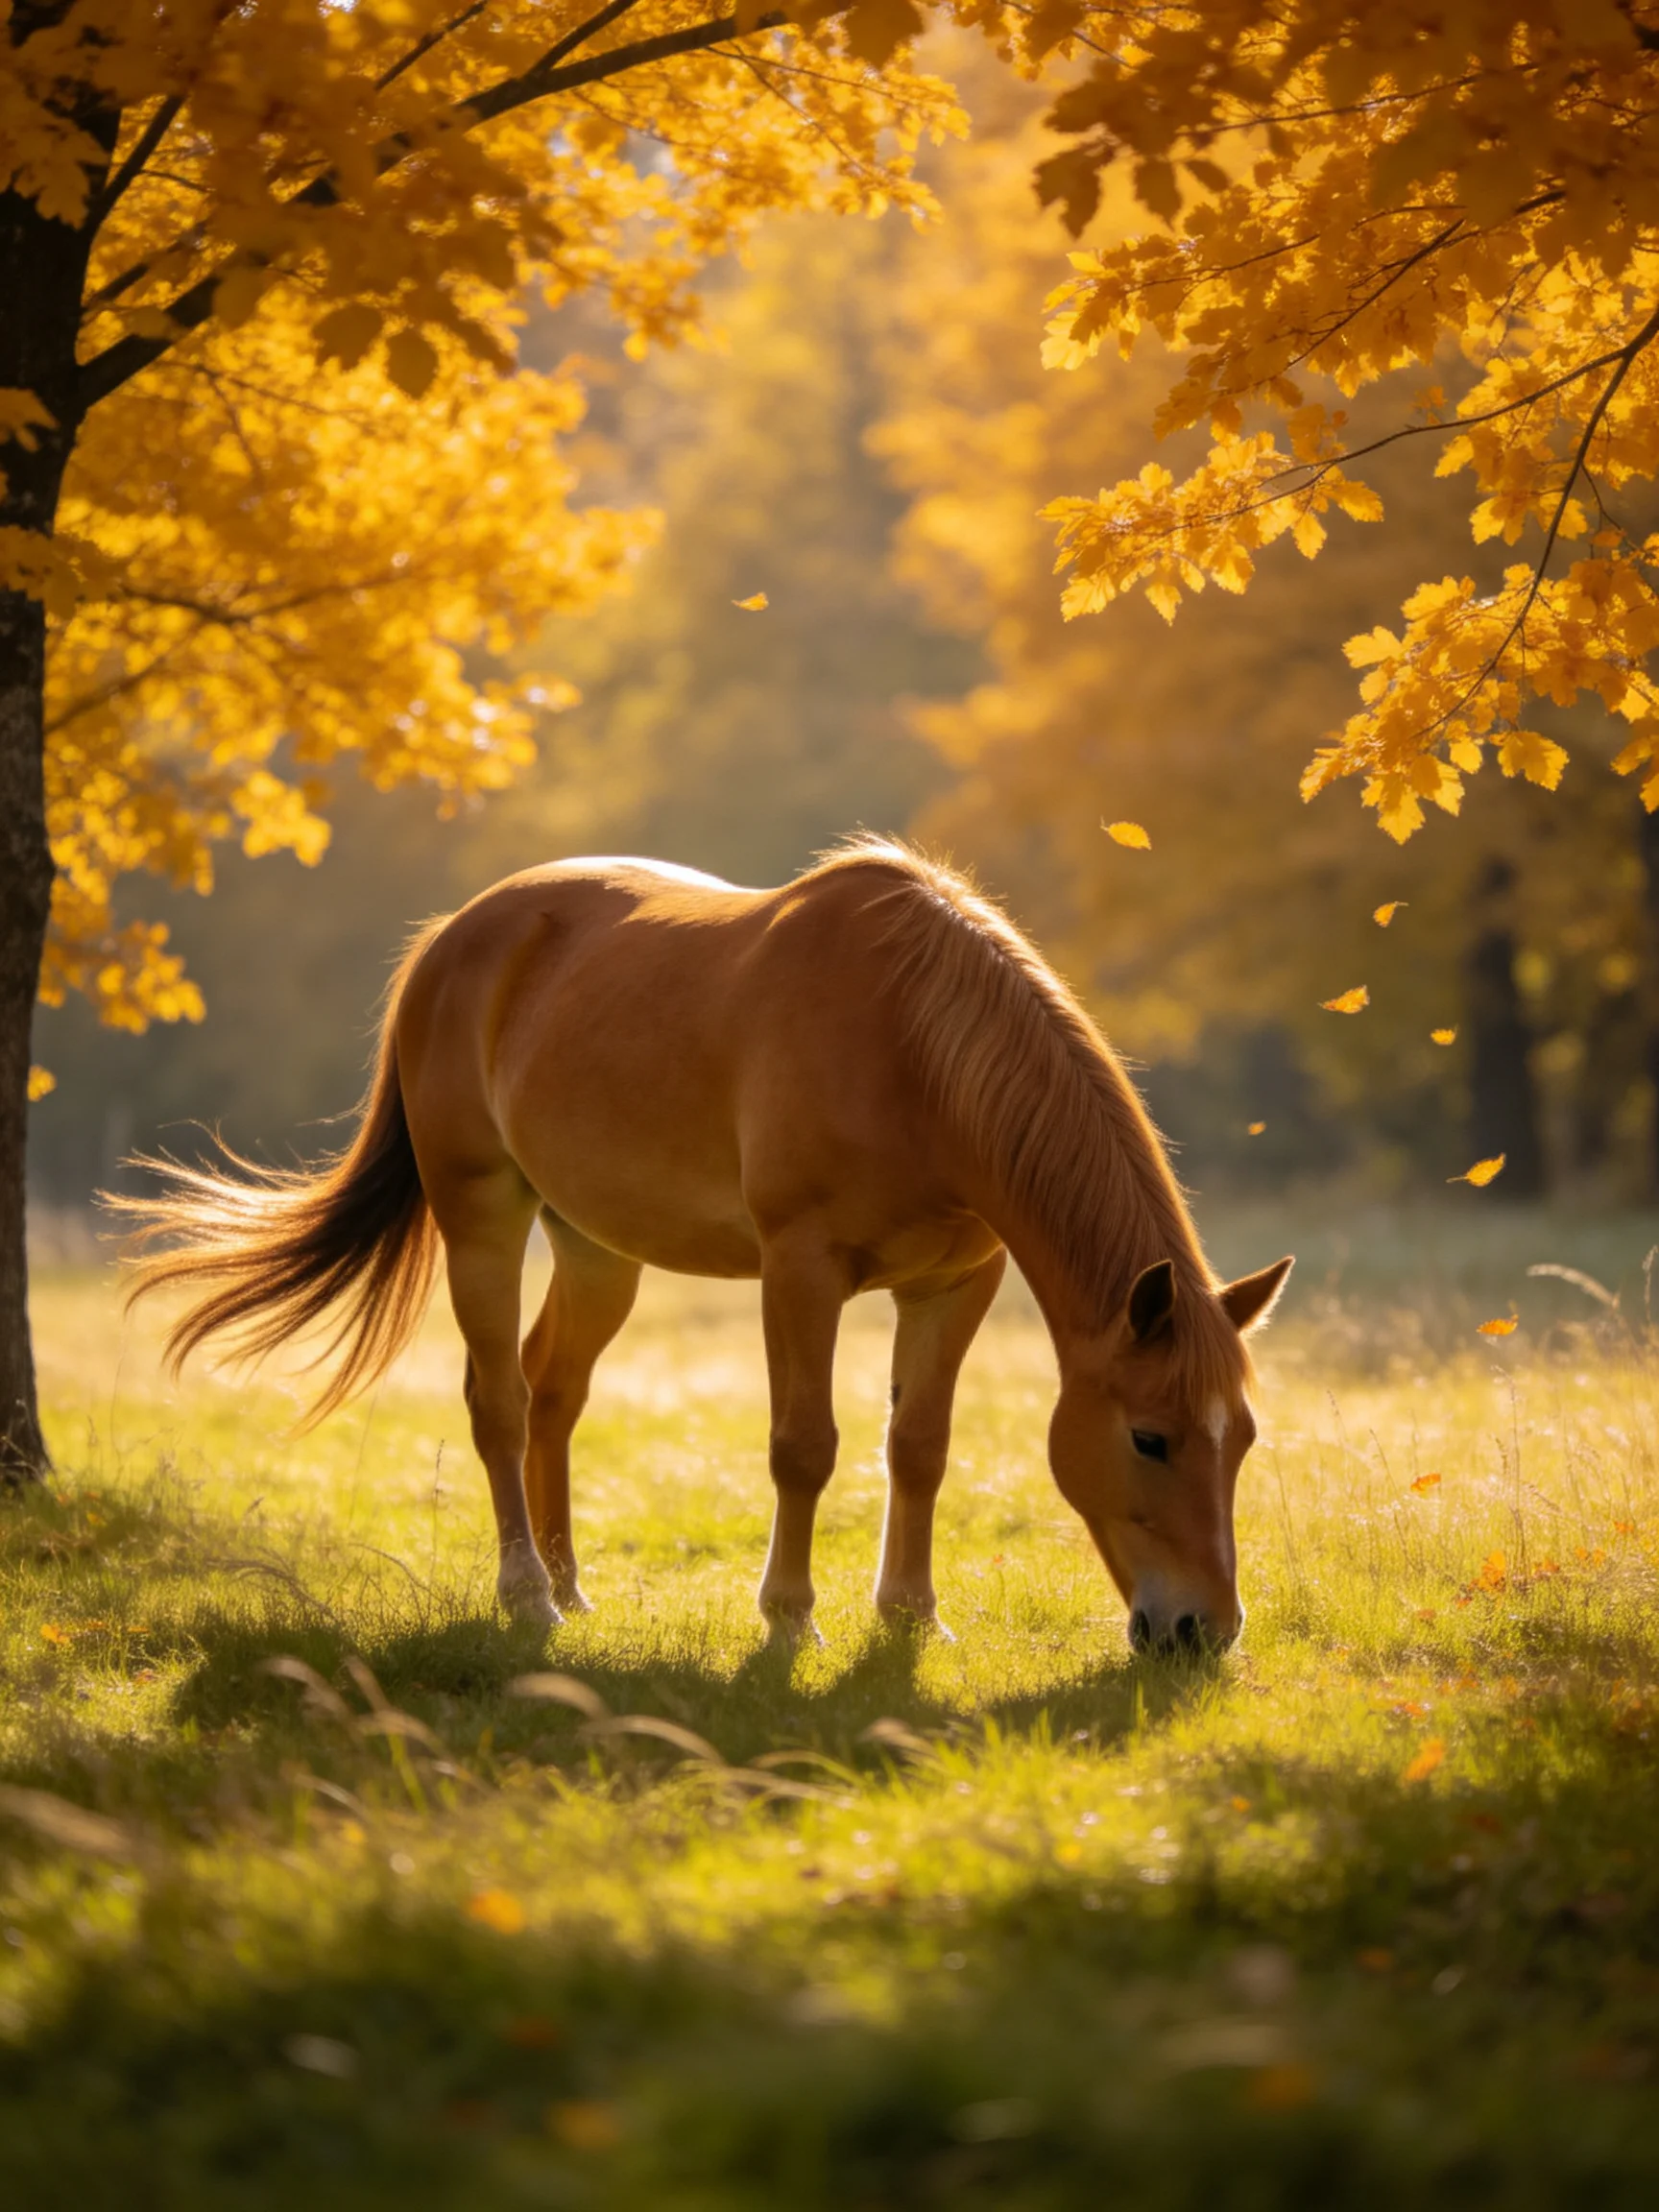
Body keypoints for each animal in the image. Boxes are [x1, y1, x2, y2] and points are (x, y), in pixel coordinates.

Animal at [119, 838, 1292, 1651]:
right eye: (1150, 1438)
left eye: (1241, 1440)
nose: (1203, 1633)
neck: (914, 1050)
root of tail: (458, 936)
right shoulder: (800, 1270)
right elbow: (804, 1445)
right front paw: (789, 1618)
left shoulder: (956, 1282)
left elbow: (919, 1446)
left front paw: (911, 1617)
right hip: (482, 1218)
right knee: (498, 1399)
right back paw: (530, 1598)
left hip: (597, 1250)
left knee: (554, 1393)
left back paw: (573, 1584)